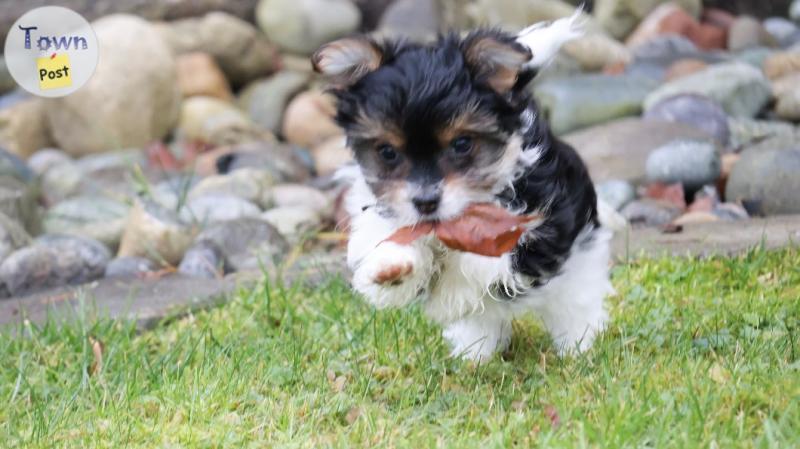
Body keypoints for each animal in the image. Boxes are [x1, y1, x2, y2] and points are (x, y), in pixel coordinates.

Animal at [310, 14, 612, 360]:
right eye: (387, 152)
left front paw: (452, 290)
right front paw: (392, 265)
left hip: (580, 265)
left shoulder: (536, 229)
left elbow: (483, 262)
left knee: (575, 306)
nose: (426, 201)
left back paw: (578, 347)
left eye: (462, 144)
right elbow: (394, 242)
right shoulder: (383, 214)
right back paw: (475, 356)